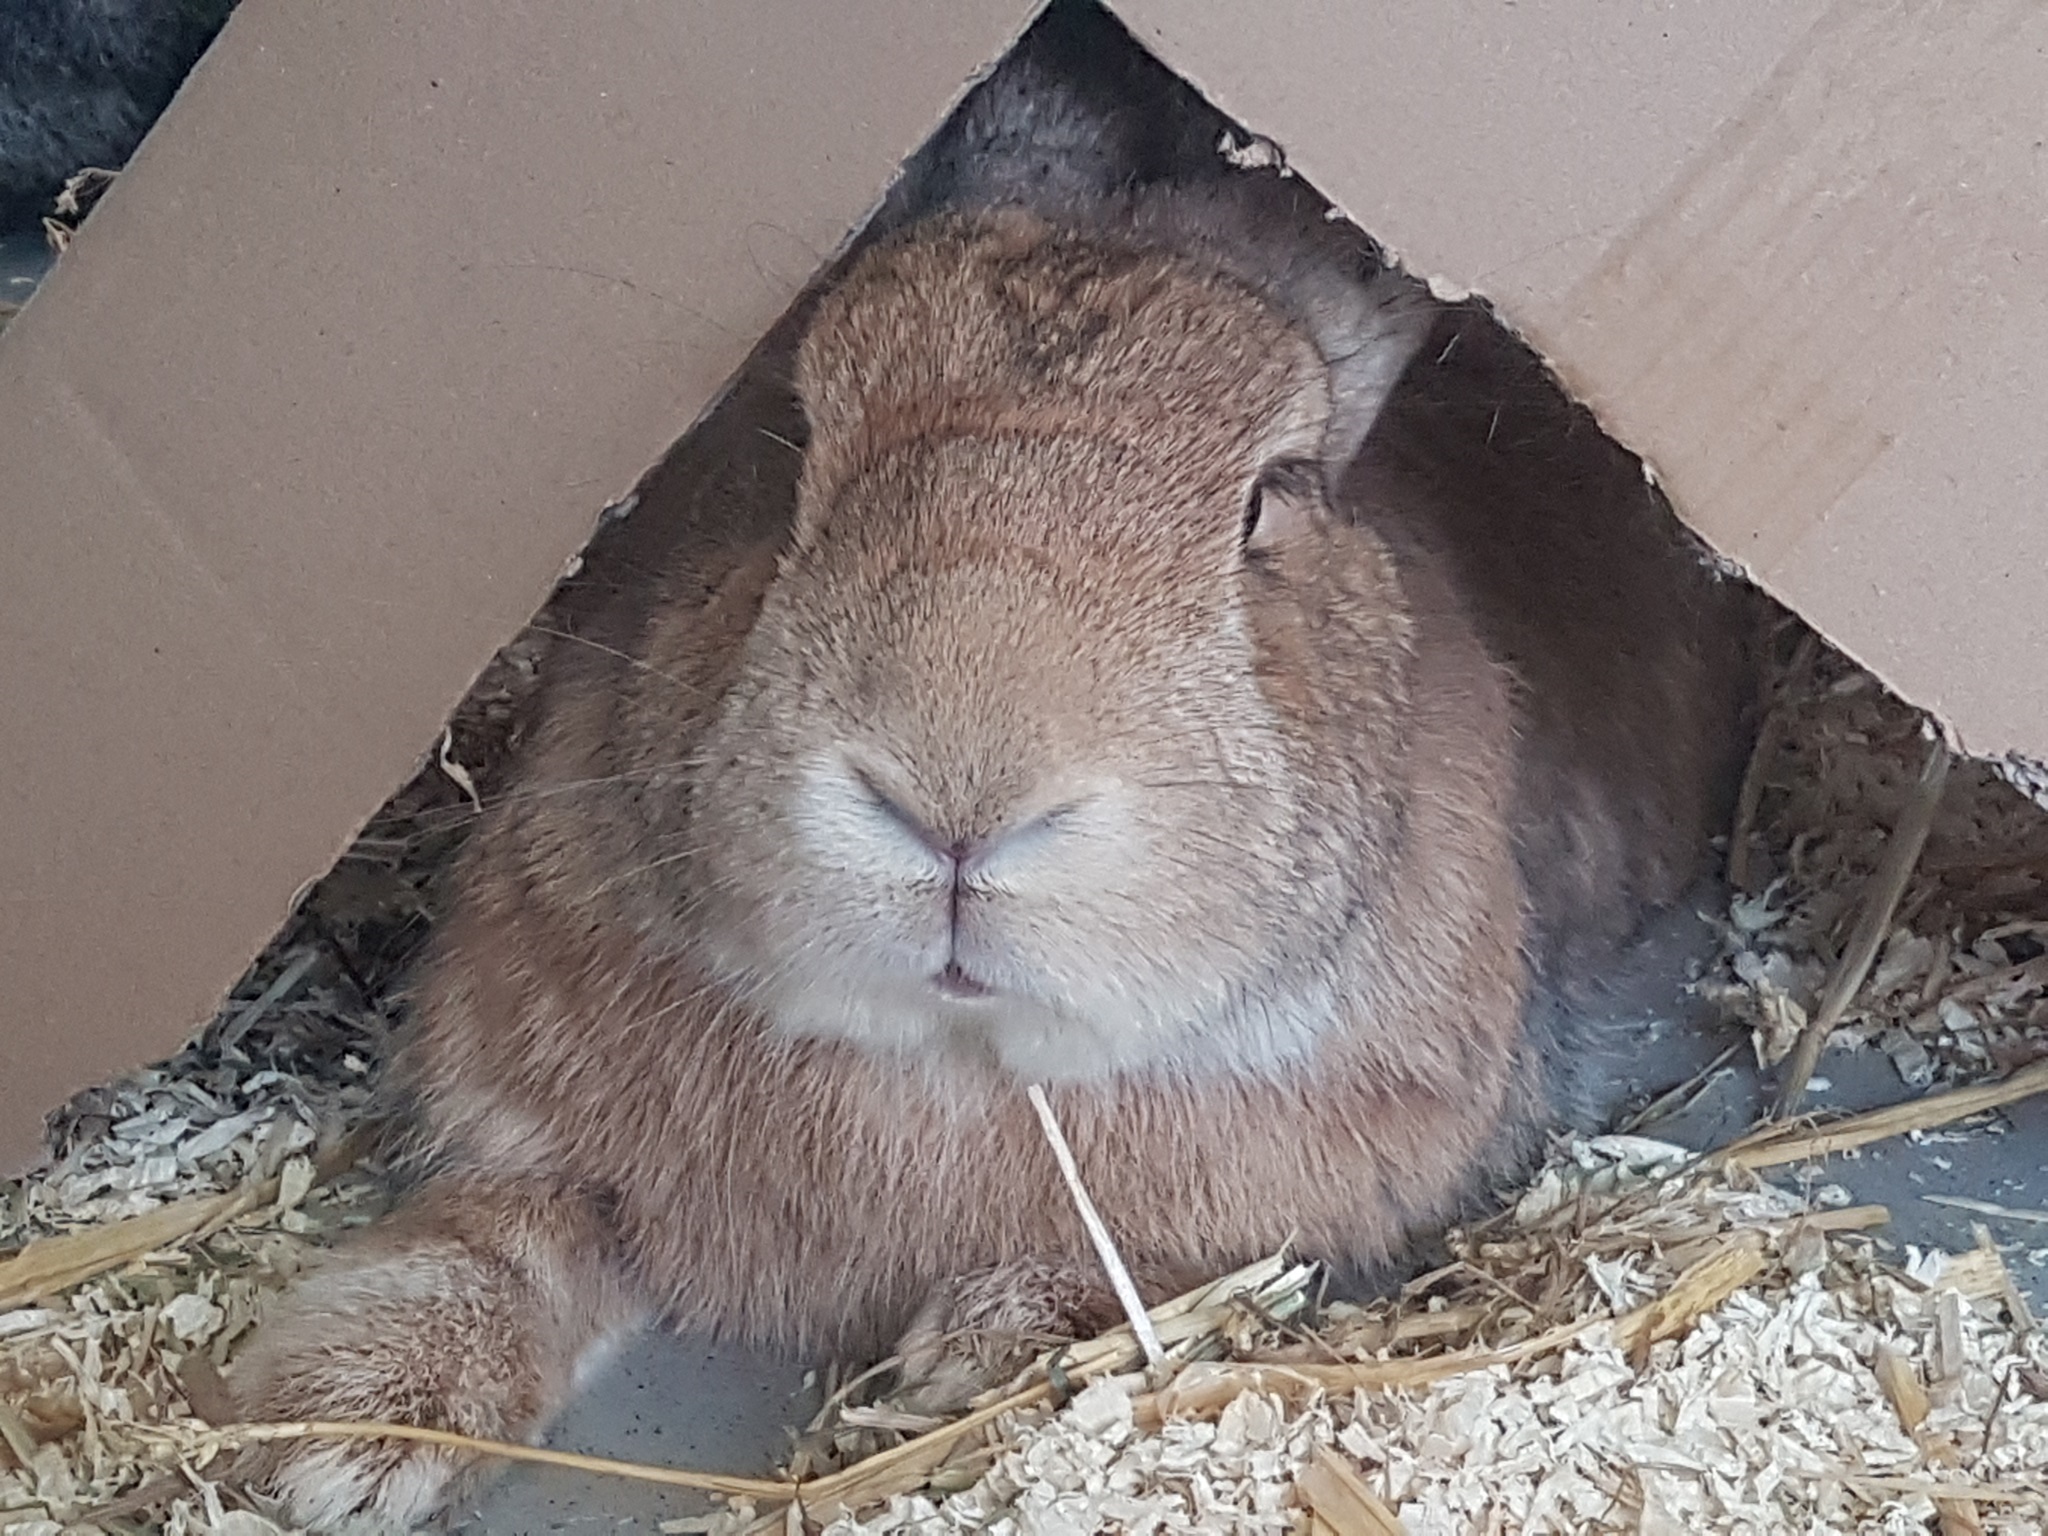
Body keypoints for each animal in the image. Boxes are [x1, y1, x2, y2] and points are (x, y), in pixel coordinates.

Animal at [223, 30, 1762, 1536]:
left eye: (1270, 496)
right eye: (792, 432)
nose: (957, 796)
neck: (951, 1067)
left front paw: (981, 1351)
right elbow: (511, 1224)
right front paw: (334, 1425)